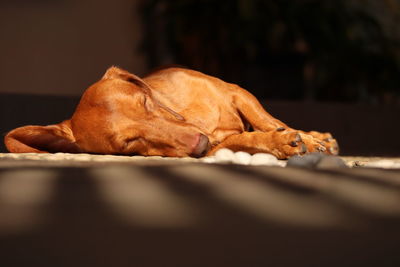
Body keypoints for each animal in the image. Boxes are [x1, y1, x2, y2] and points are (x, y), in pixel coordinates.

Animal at [4, 66, 340, 159]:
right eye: (129, 143)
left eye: (145, 102)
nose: (200, 145)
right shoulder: (219, 144)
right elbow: (247, 139)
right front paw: (281, 143)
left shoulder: (237, 92)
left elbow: (268, 121)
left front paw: (308, 140)